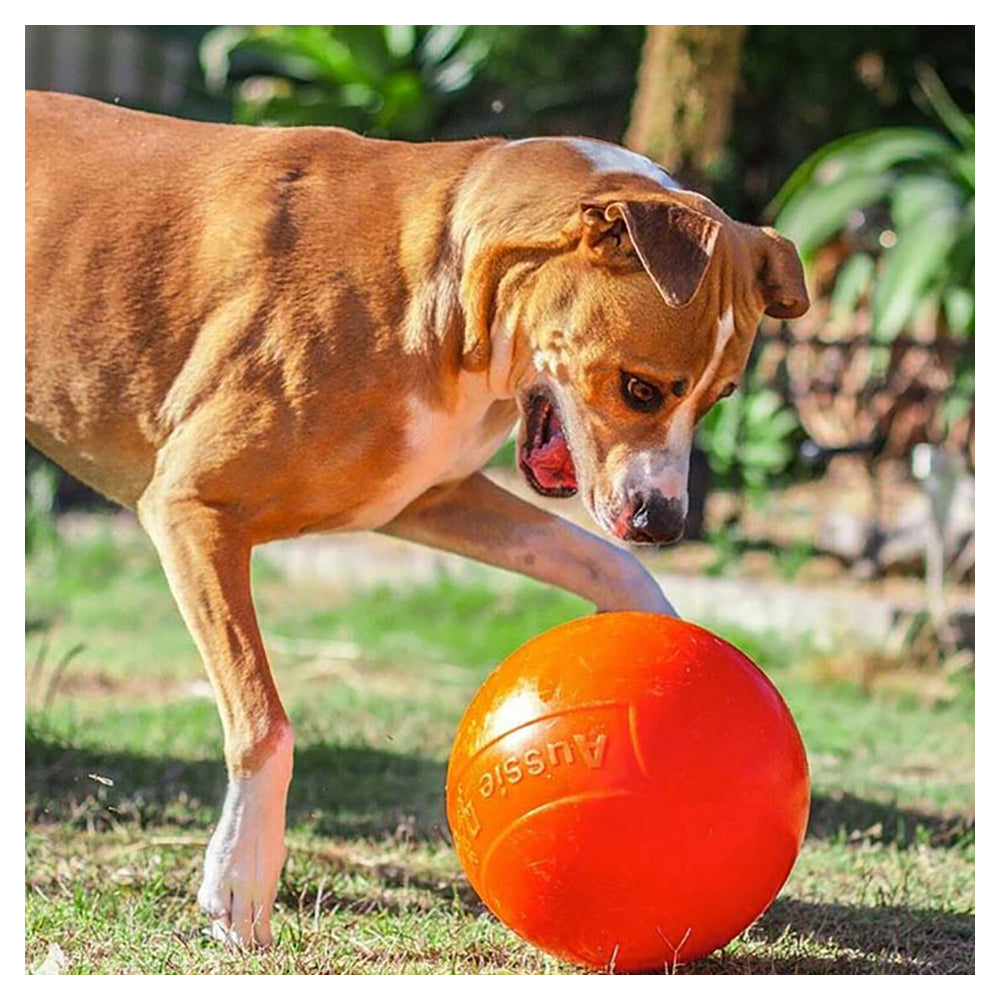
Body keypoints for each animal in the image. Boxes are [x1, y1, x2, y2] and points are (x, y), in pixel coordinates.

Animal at [25, 92, 804, 944]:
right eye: (641, 388)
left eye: (718, 399)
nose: (664, 522)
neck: (446, 281)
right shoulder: (192, 507)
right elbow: (263, 722)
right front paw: (240, 879)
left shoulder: (433, 497)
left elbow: (604, 560)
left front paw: (656, 631)